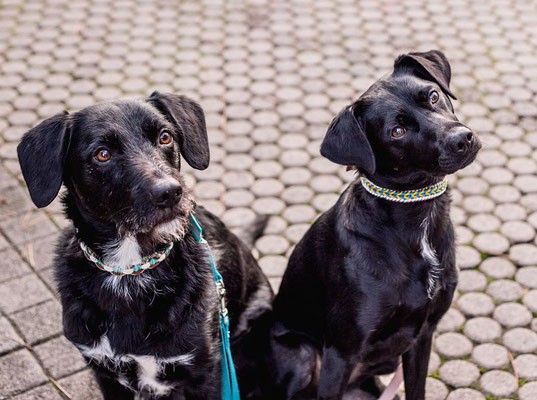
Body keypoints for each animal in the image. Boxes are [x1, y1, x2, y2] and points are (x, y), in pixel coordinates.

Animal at [17, 91, 272, 400]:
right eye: (102, 154)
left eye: (164, 137)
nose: (171, 192)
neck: (130, 271)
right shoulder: (106, 374)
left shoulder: (207, 372)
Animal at [268, 50, 482, 400]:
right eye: (397, 132)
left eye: (433, 96)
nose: (462, 138)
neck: (417, 220)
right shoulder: (339, 353)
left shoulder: (422, 336)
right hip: (302, 355)